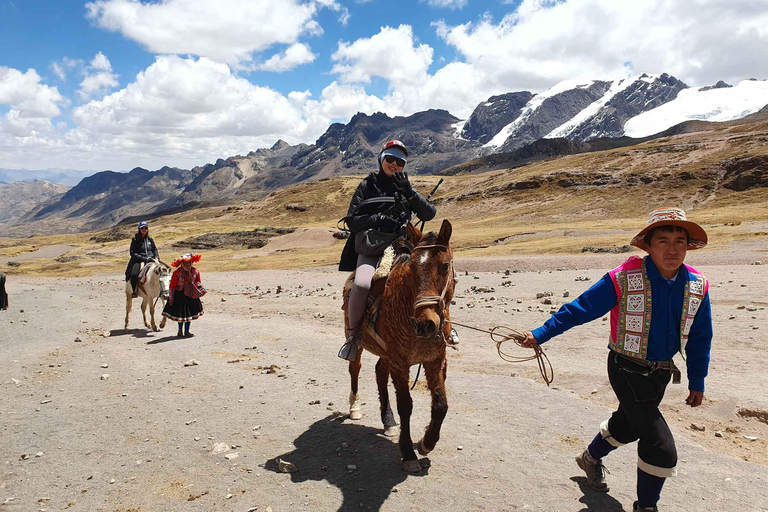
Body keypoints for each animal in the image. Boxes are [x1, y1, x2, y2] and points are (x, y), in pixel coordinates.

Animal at [344, 219, 452, 472]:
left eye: (444, 266)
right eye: (411, 268)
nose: (425, 324)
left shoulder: (435, 360)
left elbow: (440, 405)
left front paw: (426, 442)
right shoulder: (401, 363)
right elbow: (406, 406)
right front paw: (408, 454)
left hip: (386, 353)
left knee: (379, 372)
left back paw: (388, 421)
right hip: (359, 343)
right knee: (355, 369)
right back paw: (355, 408)